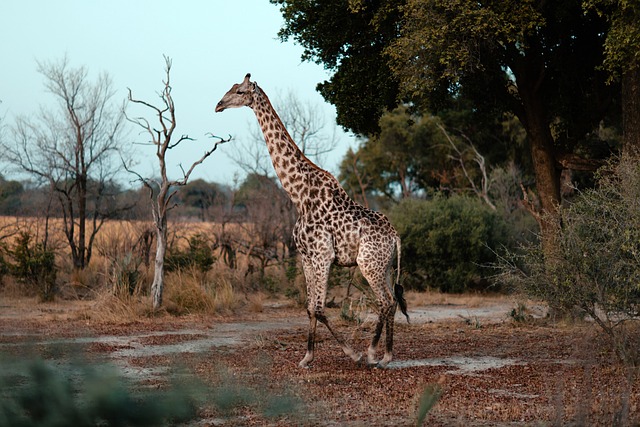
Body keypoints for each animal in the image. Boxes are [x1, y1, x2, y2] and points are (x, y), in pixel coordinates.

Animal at [215, 73, 404, 368]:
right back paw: (387, 355)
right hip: (384, 266)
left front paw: (352, 353)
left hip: (369, 264)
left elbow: (319, 307)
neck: (299, 195)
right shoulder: (305, 256)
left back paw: (373, 353)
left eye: (240, 91)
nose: (219, 105)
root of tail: (395, 235)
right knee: (392, 301)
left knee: (384, 302)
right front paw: (307, 357)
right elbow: (308, 308)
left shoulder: (323, 256)